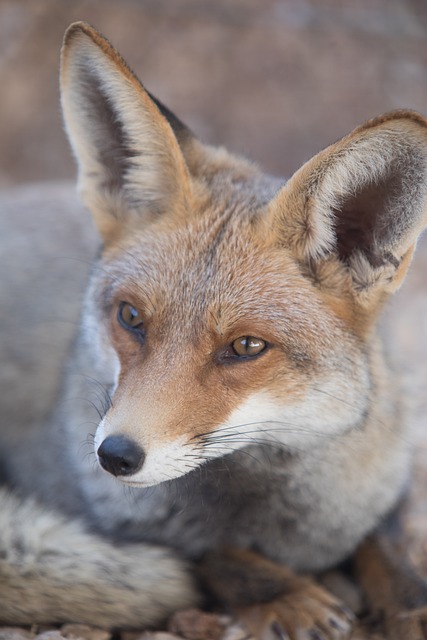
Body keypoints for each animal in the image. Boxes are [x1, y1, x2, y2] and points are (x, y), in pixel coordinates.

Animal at [1, 20, 427, 640]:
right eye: (131, 318)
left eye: (246, 346)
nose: (115, 457)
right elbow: (214, 555)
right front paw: (287, 596)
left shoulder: (386, 490)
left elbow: (389, 554)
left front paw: (408, 605)